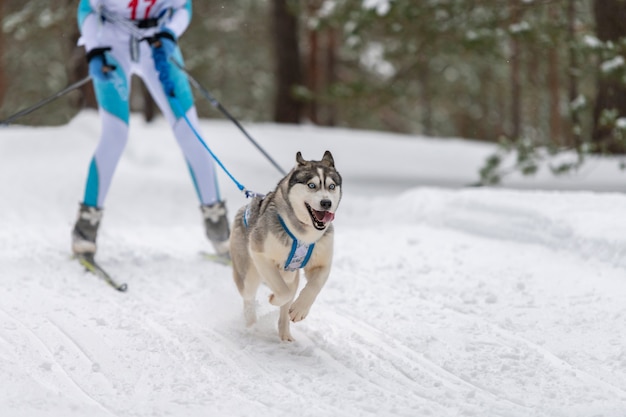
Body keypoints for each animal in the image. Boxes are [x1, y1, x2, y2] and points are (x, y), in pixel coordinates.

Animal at [229, 151, 342, 340]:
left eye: (331, 186)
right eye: (312, 185)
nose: (326, 203)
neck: (304, 234)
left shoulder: (322, 263)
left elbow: (314, 286)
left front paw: (300, 309)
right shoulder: (260, 254)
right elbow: (284, 292)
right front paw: (274, 299)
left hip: (290, 275)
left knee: (286, 300)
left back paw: (285, 333)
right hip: (250, 273)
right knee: (249, 297)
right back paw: (251, 324)